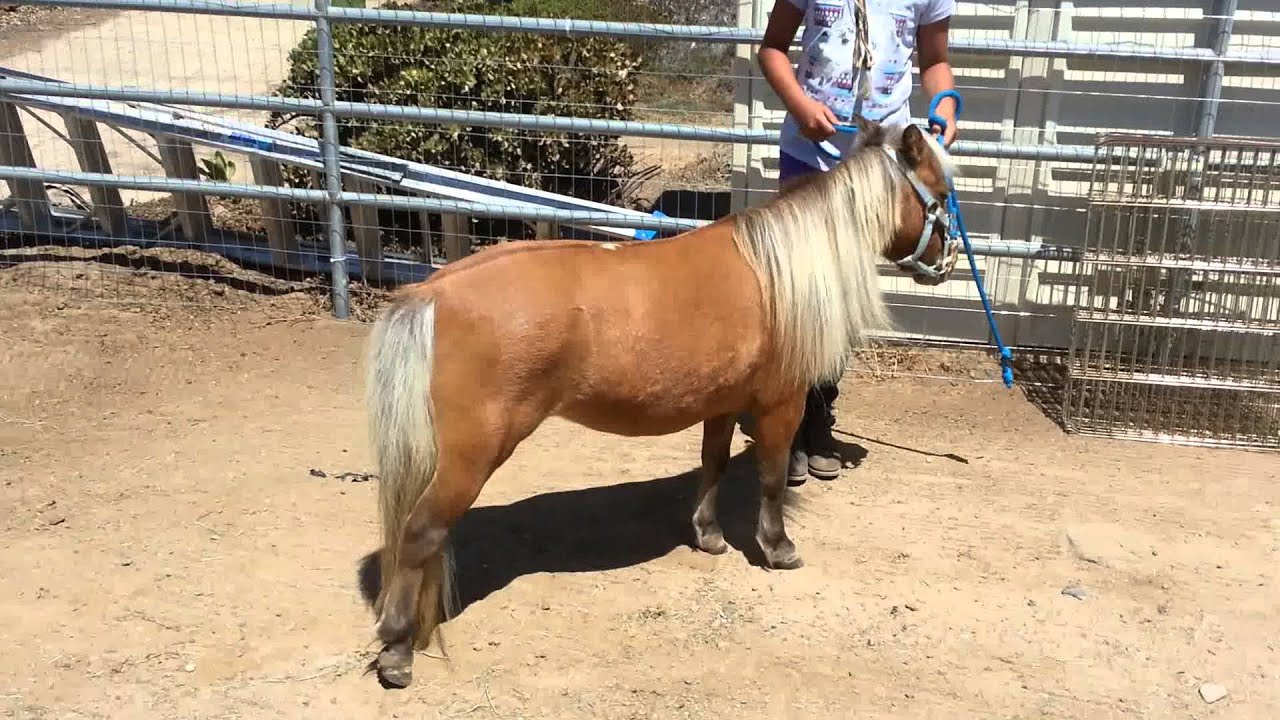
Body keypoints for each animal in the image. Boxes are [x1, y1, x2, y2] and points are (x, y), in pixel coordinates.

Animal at [363, 117, 959, 687]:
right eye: (939, 190)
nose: (949, 257)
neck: (778, 272)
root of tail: (434, 292)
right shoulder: (779, 402)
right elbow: (770, 477)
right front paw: (778, 547)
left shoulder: (722, 404)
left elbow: (714, 464)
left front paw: (709, 536)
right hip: (473, 454)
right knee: (418, 533)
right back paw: (396, 651)